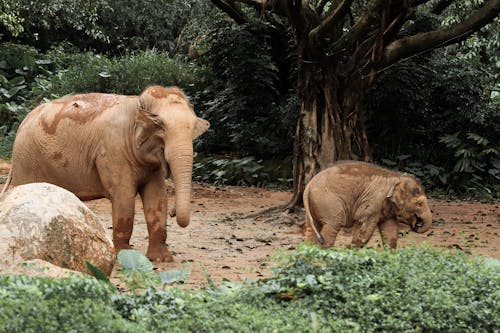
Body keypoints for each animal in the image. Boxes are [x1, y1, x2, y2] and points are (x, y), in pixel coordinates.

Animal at [2, 85, 209, 262]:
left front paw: (161, 259)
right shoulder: (112, 151)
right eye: (160, 126)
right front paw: (125, 256)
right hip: (27, 160)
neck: (136, 105)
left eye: (193, 128)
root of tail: (23, 123)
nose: (174, 213)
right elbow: (124, 196)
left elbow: (157, 197)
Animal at [302, 160, 432, 248]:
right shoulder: (373, 203)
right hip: (328, 203)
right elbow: (364, 230)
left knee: (311, 229)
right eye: (420, 204)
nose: (416, 226)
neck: (396, 177)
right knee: (331, 226)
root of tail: (308, 185)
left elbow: (390, 230)